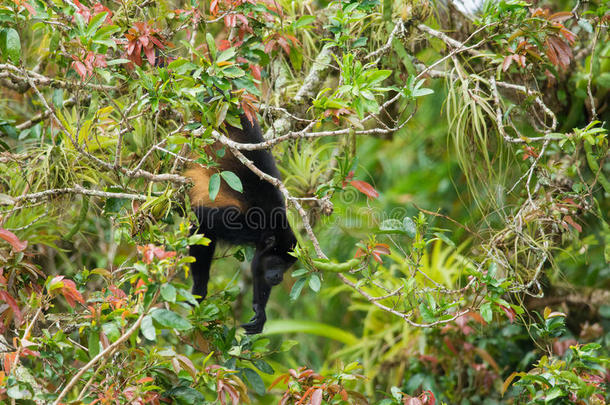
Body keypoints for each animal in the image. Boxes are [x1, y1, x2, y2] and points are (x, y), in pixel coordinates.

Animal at [184, 114, 298, 334]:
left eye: (288, 266)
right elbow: (203, 223)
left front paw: (260, 311)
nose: (279, 277)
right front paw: (199, 289)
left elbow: (258, 266)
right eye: (278, 263)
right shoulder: (249, 226)